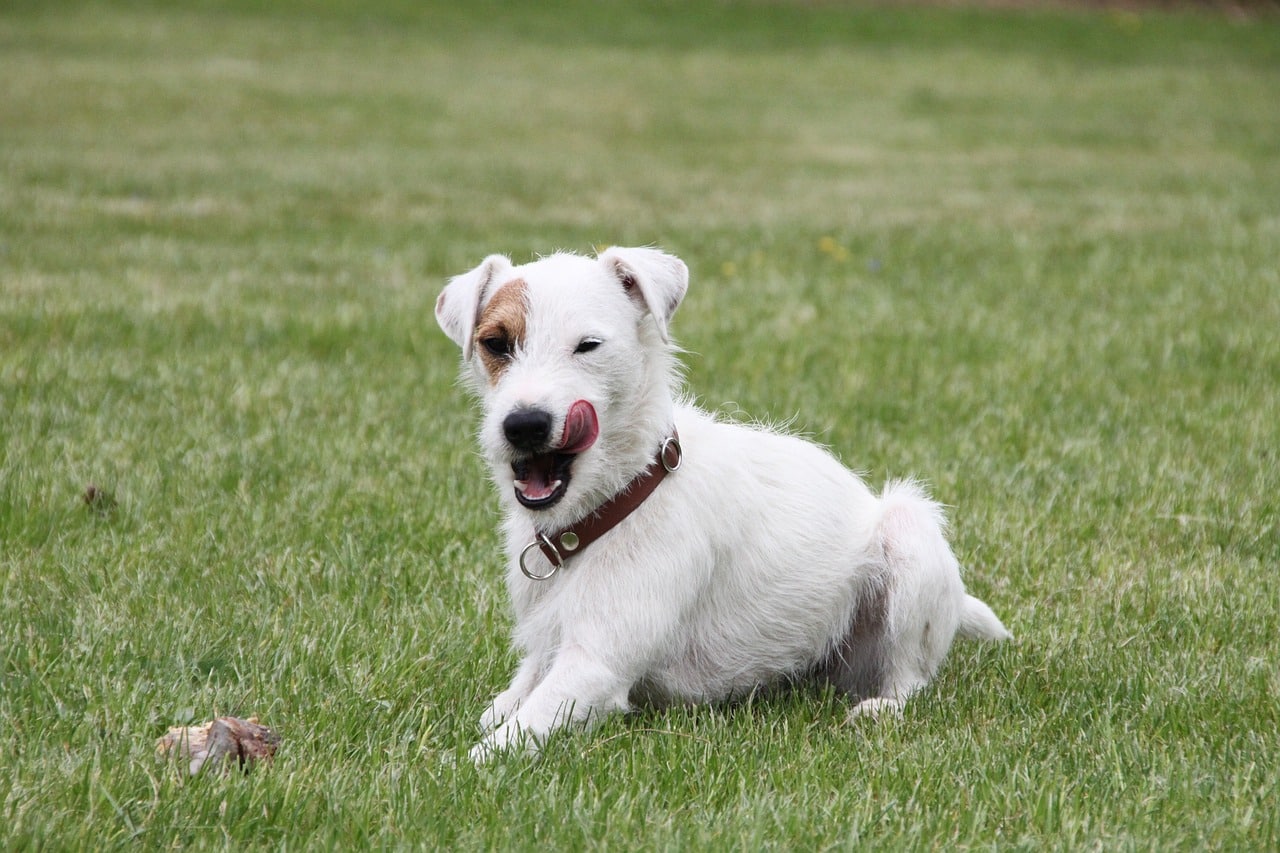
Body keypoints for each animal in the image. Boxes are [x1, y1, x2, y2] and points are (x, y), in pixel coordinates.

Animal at [440, 244, 1008, 758]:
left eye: (588, 345)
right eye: (496, 343)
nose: (524, 424)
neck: (612, 503)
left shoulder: (595, 665)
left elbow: (499, 744)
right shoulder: (548, 647)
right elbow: (510, 699)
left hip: (908, 533)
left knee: (911, 679)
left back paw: (881, 707)